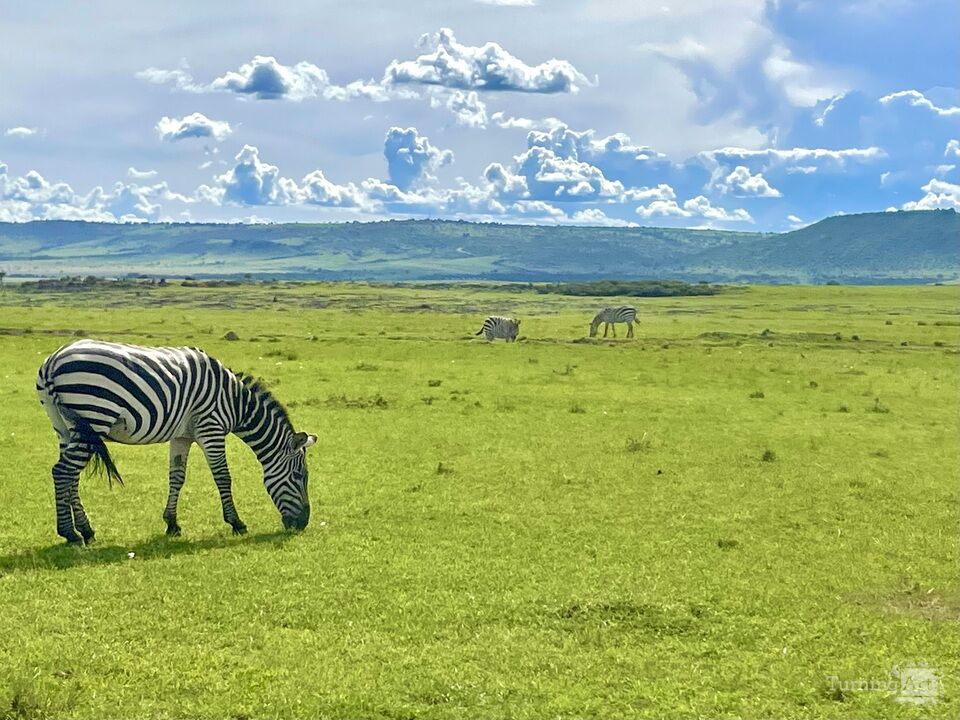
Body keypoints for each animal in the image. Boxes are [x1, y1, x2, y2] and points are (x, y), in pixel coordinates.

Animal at [36, 339, 317, 544]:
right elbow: (223, 477)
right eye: (299, 476)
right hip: (93, 415)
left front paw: (172, 523)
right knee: (63, 472)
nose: (302, 524)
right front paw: (236, 523)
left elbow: (177, 477)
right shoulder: (211, 427)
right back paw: (70, 534)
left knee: (70, 475)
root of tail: (53, 361)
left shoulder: (182, 436)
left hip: (65, 426)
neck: (236, 403)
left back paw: (86, 530)